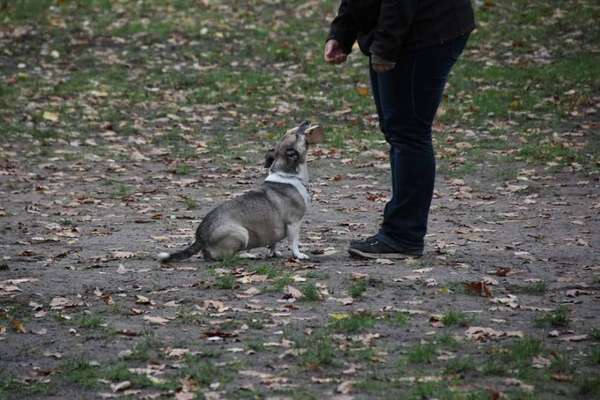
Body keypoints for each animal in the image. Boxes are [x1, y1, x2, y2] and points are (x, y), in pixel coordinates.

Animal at [157, 121, 322, 262]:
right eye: (296, 135)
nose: (306, 121)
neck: (288, 175)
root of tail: (200, 237)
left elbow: (273, 243)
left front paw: (273, 253)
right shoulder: (294, 223)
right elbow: (294, 242)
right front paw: (298, 255)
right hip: (241, 233)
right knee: (226, 257)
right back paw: (247, 255)